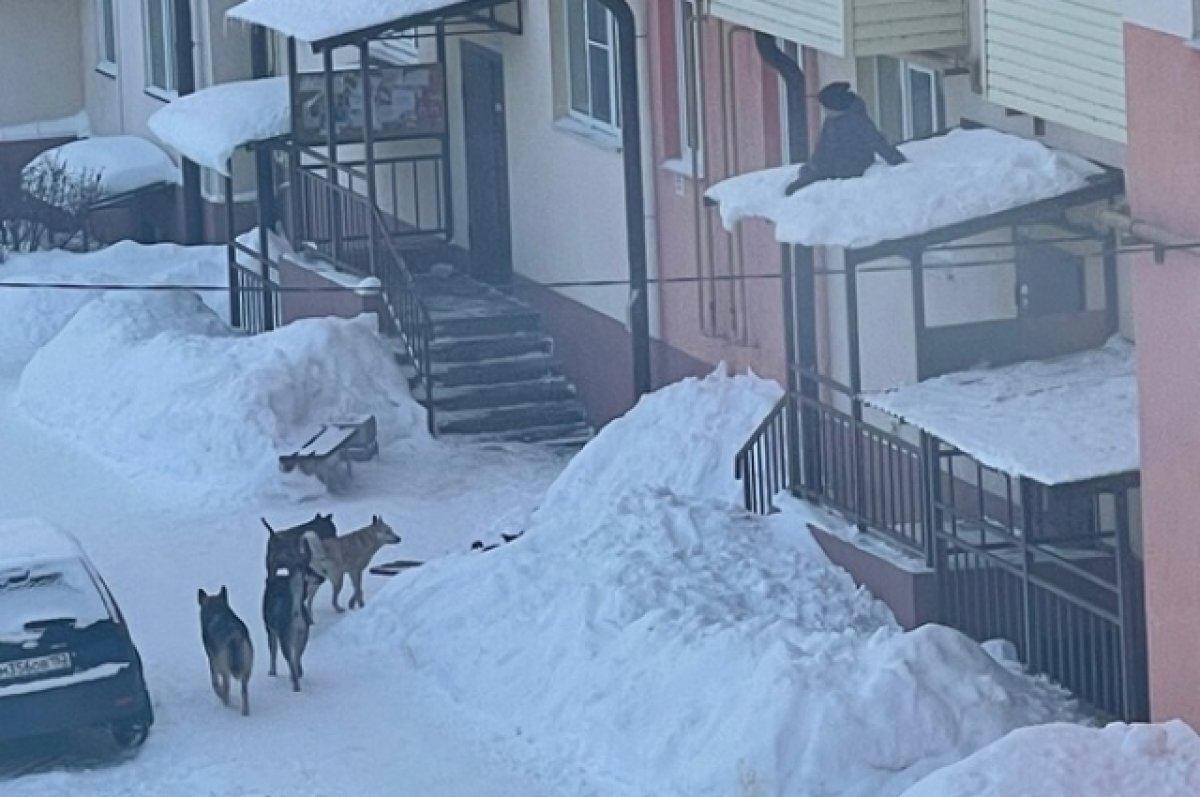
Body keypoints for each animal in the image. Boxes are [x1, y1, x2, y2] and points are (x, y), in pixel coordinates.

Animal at [198, 585, 254, 715]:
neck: (217, 611)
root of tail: (234, 637)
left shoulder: (212, 660)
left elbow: (214, 682)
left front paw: (218, 693)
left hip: (226, 672)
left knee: (226, 689)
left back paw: (226, 704)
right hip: (247, 672)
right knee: (244, 691)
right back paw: (245, 712)